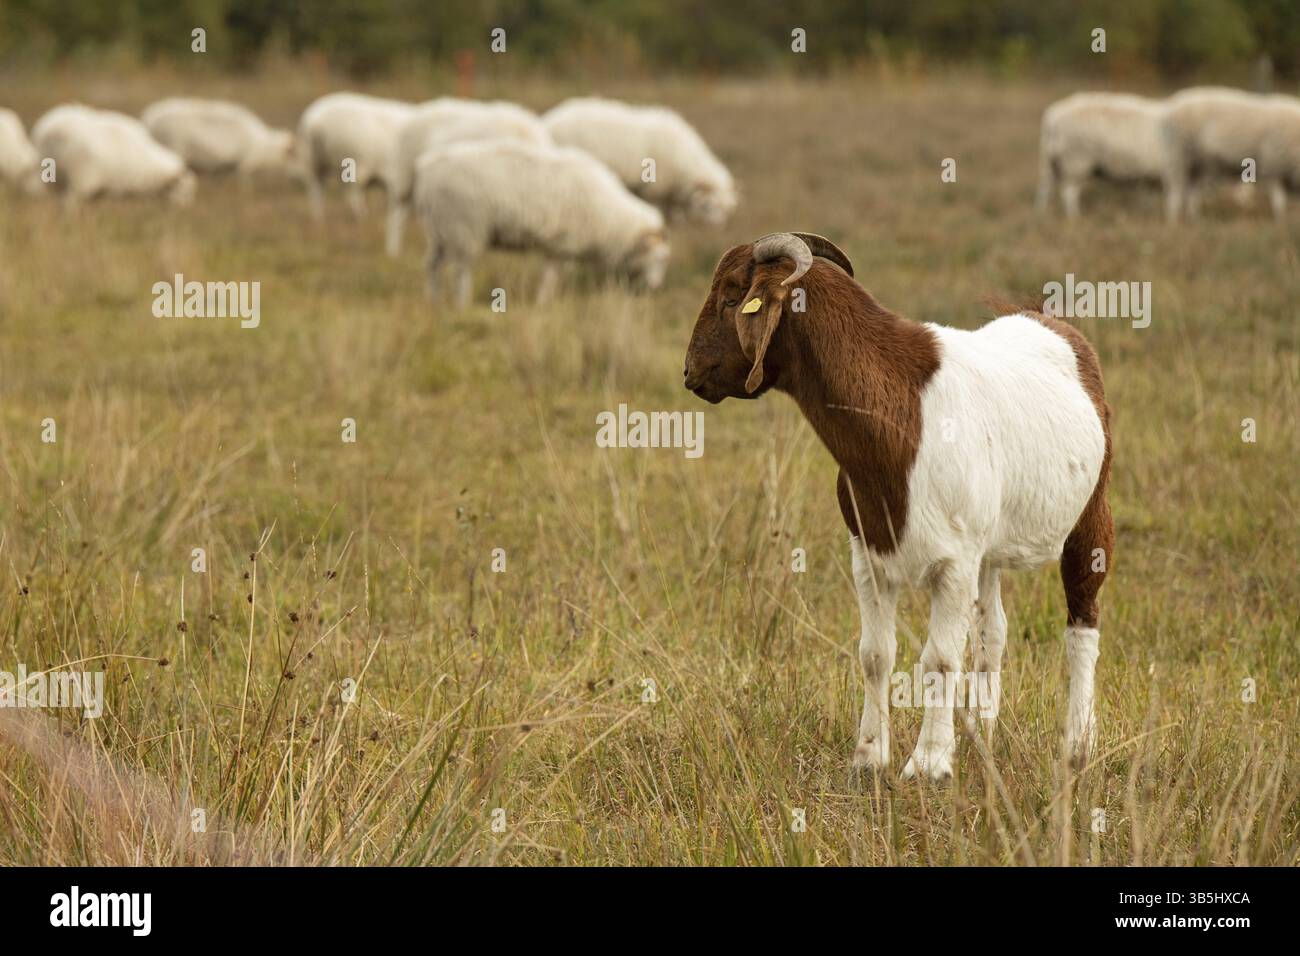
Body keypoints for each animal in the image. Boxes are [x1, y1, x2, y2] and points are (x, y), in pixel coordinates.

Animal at [683, 233, 1114, 781]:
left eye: (733, 296)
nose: (690, 372)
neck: (901, 410)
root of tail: (1050, 323)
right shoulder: (869, 552)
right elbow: (875, 653)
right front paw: (869, 757)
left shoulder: (954, 562)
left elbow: (941, 659)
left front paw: (928, 764)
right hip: (990, 547)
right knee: (993, 630)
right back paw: (982, 736)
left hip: (1091, 515)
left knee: (1082, 626)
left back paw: (1078, 744)